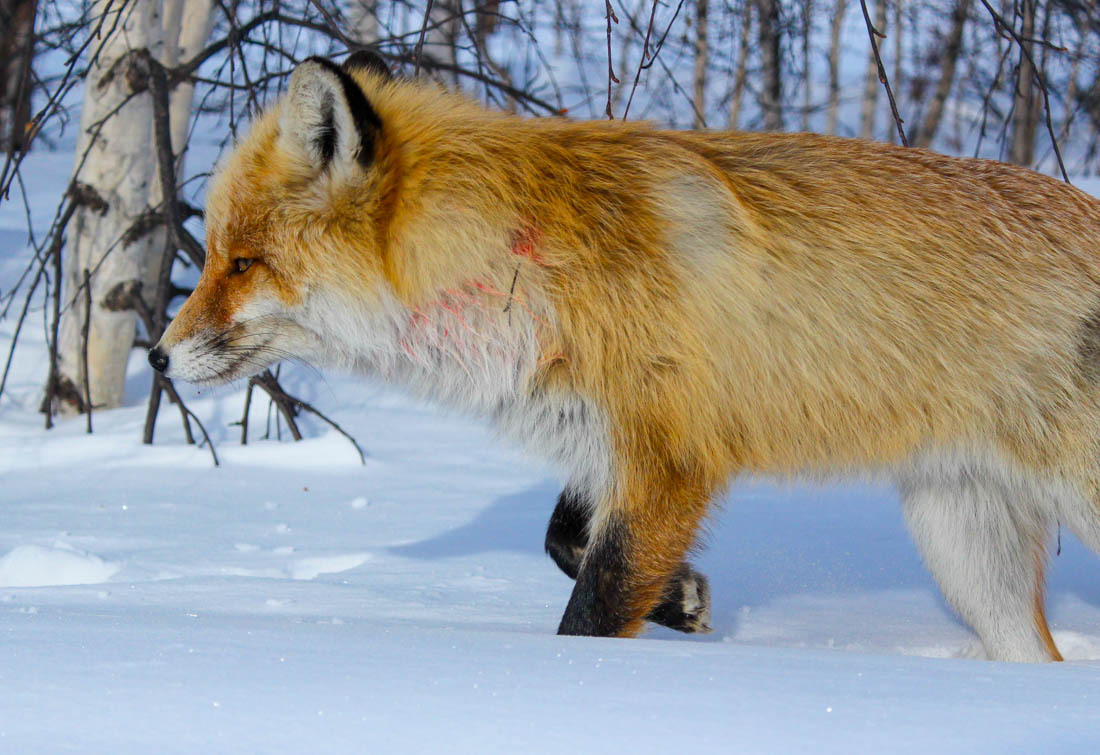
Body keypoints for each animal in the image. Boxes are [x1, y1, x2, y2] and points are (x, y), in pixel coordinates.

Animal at [150, 50, 1100, 660]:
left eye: (242, 262)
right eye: (216, 255)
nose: (156, 358)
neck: (518, 264)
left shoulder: (669, 462)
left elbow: (591, 612)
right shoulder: (607, 439)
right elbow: (561, 540)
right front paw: (684, 598)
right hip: (966, 554)